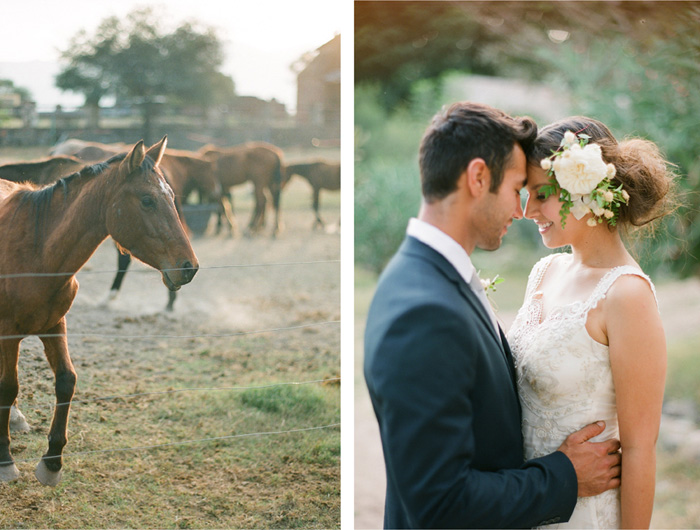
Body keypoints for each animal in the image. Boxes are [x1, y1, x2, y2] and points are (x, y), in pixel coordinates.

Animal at [0, 135, 197, 482]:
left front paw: (52, 462)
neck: (35, 250)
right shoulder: (8, 333)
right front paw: (5, 459)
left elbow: (66, 381)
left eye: (172, 197)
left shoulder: (54, 325)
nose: (188, 268)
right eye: (147, 200)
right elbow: (8, 386)